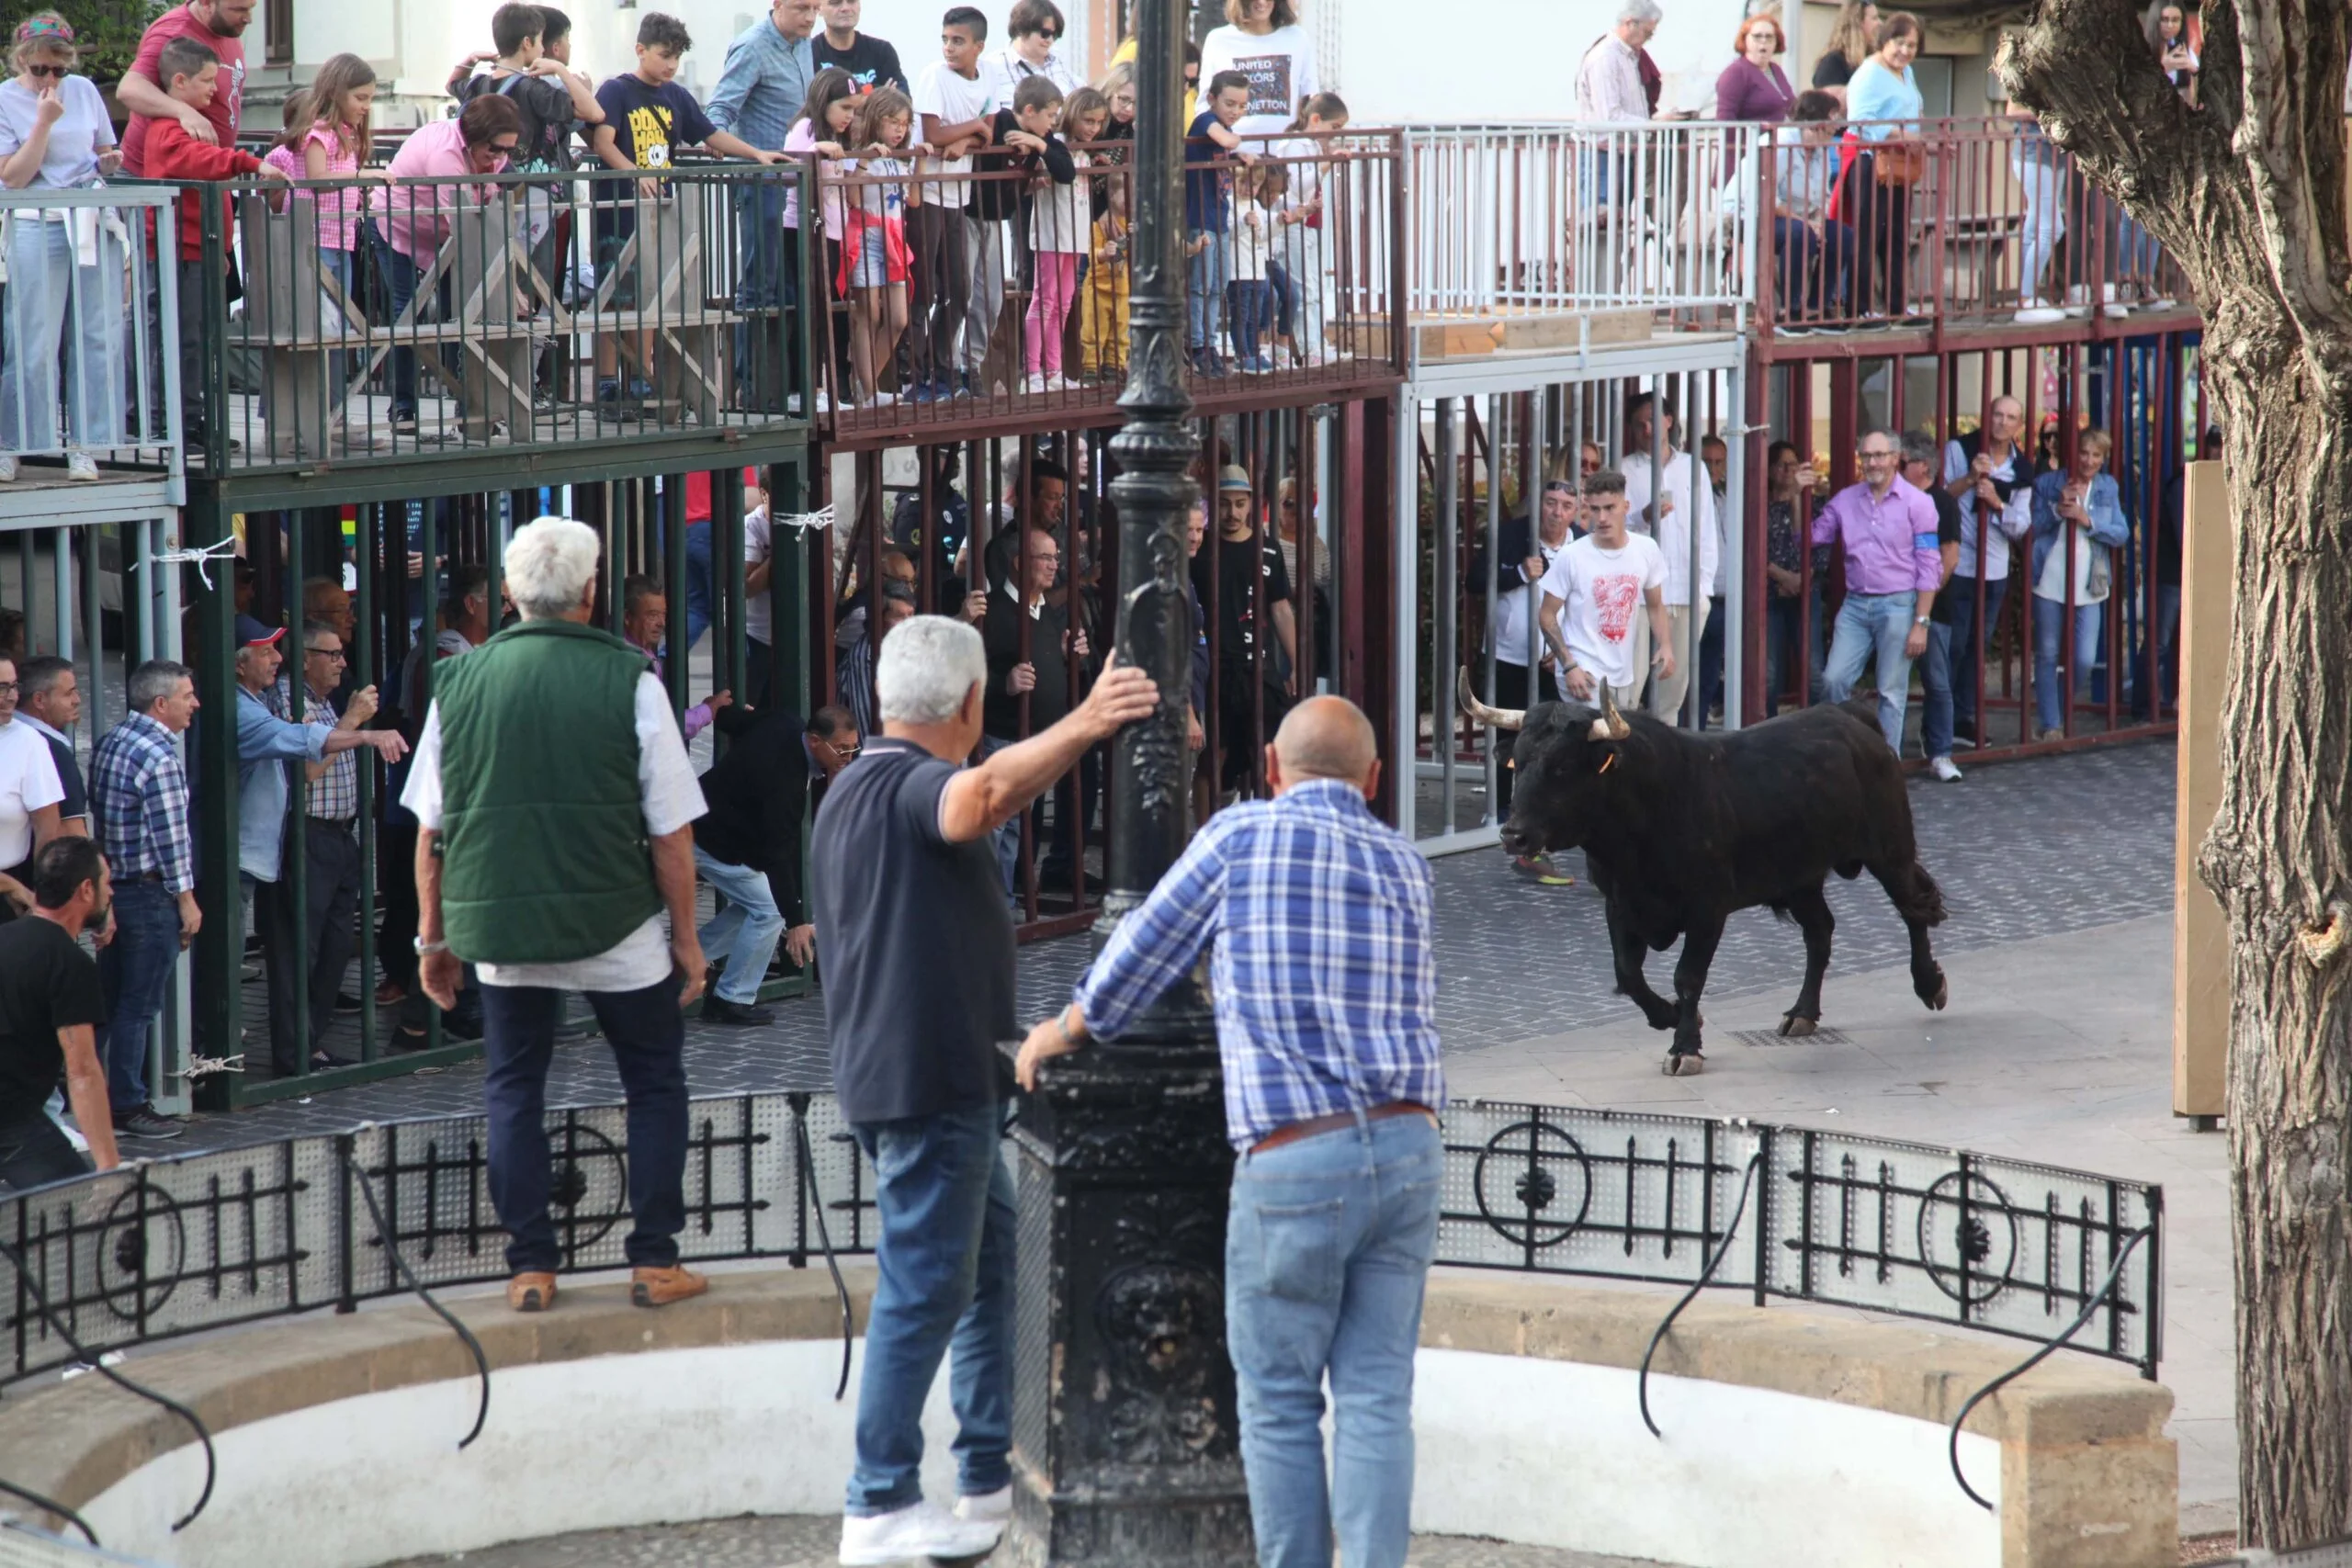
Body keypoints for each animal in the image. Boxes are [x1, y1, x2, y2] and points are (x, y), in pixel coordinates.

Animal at [1467, 677, 1947, 1081]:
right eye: (1518, 762)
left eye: (1563, 767)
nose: (1513, 835)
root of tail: (1848, 715)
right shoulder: (1620, 905)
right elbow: (1628, 974)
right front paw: (1669, 1016)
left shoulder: (1707, 910)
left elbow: (1687, 977)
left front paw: (1685, 1047)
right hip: (1798, 877)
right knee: (1820, 931)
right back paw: (1802, 1012)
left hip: (1889, 848)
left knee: (1913, 905)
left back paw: (1930, 984)